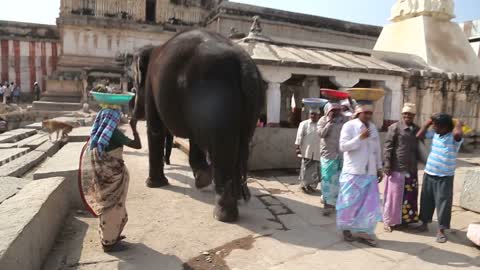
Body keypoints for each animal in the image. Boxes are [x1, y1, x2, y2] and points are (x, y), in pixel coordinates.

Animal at [133, 29, 264, 223]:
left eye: (135, 84)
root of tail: (244, 62)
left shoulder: (151, 85)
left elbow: (155, 128)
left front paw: (153, 184)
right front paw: (202, 178)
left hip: (218, 97)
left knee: (223, 149)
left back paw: (223, 215)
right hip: (250, 108)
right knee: (241, 144)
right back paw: (238, 198)